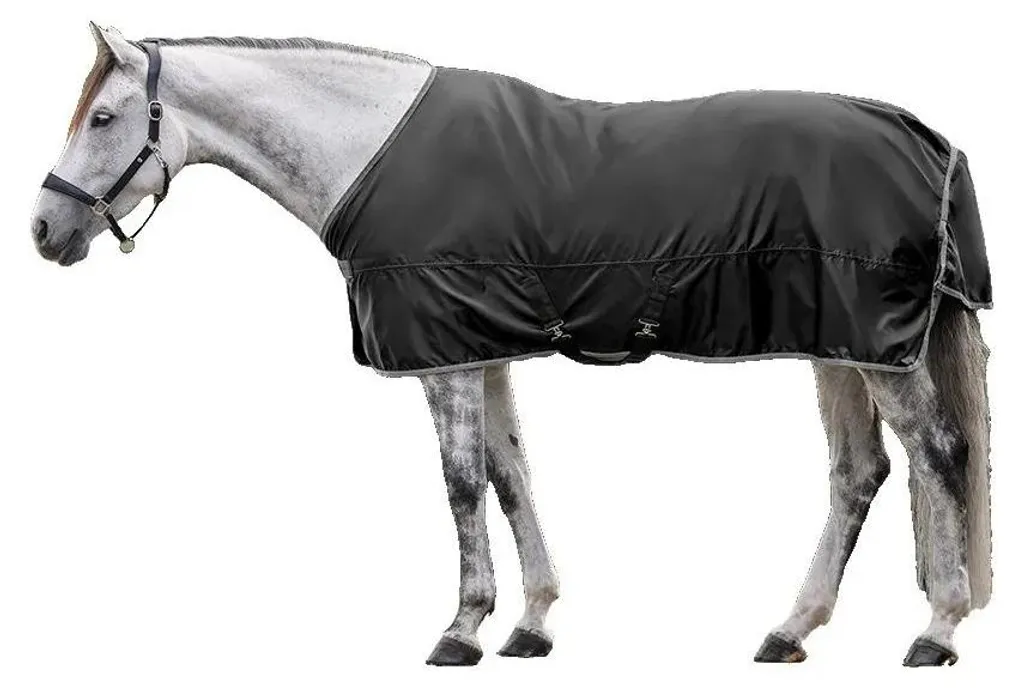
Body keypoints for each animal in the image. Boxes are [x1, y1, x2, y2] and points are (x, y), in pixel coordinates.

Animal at [30, 24, 993, 667]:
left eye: (105, 117)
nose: (44, 229)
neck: (369, 147)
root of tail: (929, 138)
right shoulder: (480, 346)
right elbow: (509, 472)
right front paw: (530, 623)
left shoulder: (447, 357)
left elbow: (461, 482)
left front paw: (461, 628)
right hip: (844, 345)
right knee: (860, 471)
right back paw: (790, 630)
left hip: (876, 348)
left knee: (939, 451)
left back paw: (936, 630)